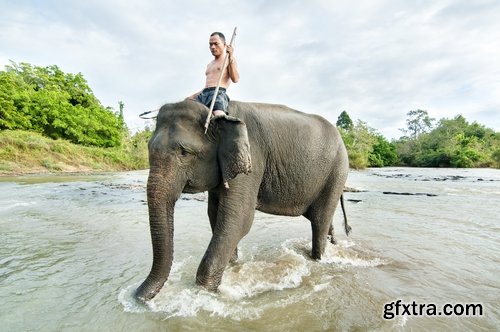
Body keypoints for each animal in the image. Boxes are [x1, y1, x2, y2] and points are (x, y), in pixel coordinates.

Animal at [135, 100, 350, 302]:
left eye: (184, 153)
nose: (137, 296)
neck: (217, 114)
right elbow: (216, 215)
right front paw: (232, 266)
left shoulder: (252, 159)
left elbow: (239, 219)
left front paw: (205, 292)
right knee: (324, 220)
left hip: (337, 171)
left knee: (319, 221)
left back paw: (319, 259)